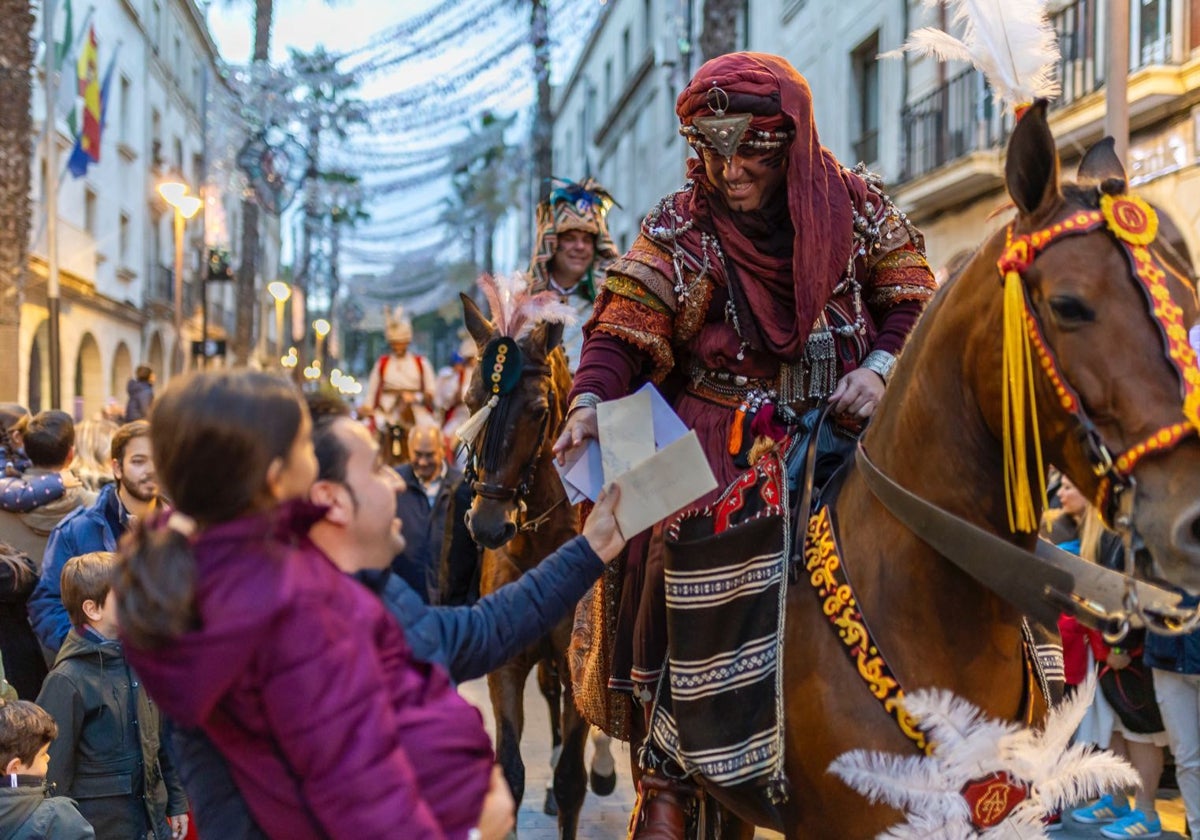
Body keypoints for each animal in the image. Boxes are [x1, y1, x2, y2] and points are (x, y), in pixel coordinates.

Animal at [453, 291, 614, 835]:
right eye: (471, 402)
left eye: (539, 410)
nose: (488, 526)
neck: (541, 544)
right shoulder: (506, 661)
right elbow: (510, 771)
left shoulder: (576, 657)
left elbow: (570, 781)